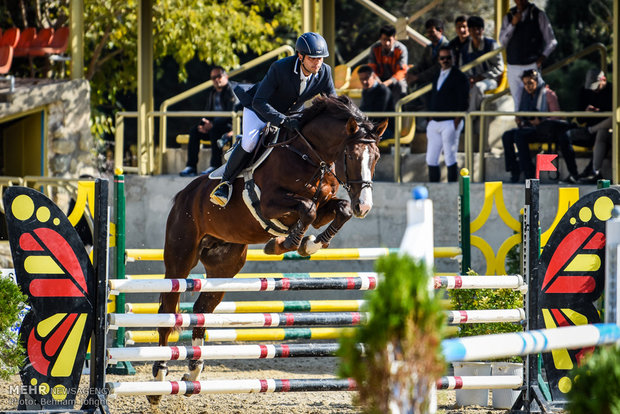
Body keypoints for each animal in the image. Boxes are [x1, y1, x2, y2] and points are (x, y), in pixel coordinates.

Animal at [148, 95, 386, 402]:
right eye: (352, 157)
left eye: (376, 157)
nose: (364, 207)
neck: (310, 156)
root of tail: (182, 196)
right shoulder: (272, 202)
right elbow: (306, 209)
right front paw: (286, 243)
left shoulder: (325, 207)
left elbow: (338, 209)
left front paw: (308, 244)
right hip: (180, 259)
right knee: (168, 309)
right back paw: (158, 379)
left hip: (225, 267)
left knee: (202, 309)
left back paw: (193, 373)